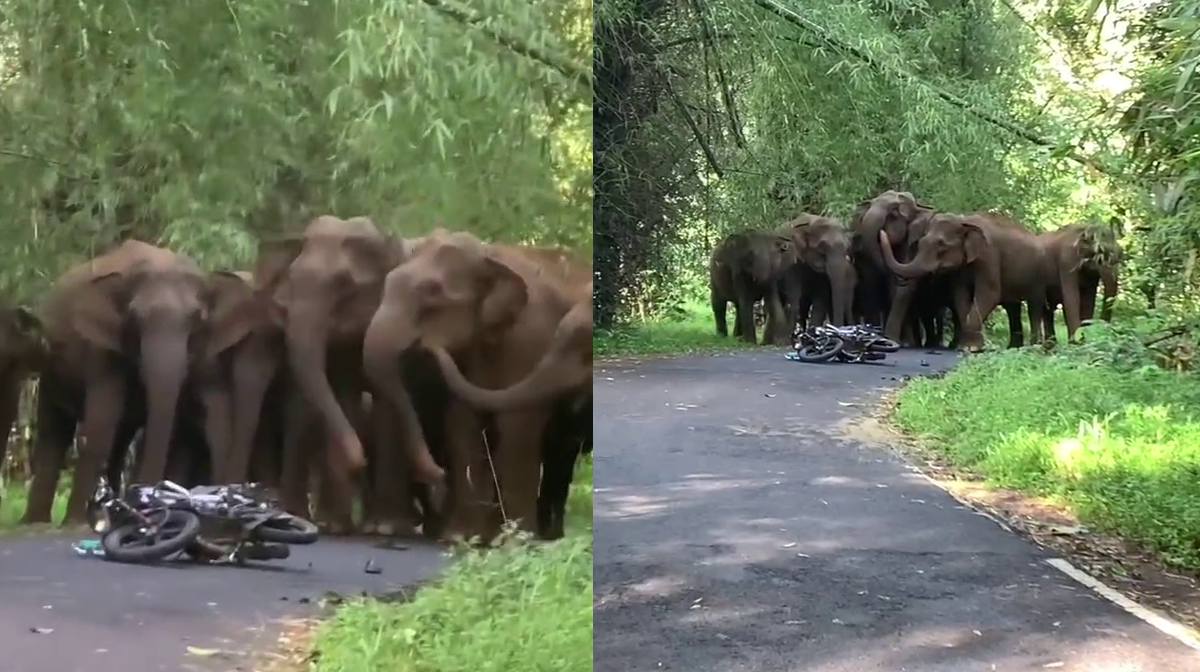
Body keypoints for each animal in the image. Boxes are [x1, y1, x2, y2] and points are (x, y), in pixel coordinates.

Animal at [23, 240, 221, 524]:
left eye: (197, 319)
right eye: (135, 318)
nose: (148, 498)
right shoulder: (100, 348)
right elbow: (101, 423)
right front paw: (77, 522)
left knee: (119, 440)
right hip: (50, 367)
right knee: (54, 432)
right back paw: (36, 521)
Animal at [363, 230, 591, 540]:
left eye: (431, 294)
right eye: (385, 284)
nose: (427, 345)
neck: (489, 256)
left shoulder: (528, 340)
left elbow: (517, 425)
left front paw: (517, 539)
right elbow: (463, 423)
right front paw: (460, 536)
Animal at [880, 213, 1050, 352]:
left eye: (941, 245)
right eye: (920, 243)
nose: (882, 232)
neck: (964, 221)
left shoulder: (988, 256)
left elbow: (989, 294)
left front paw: (971, 348)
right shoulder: (961, 269)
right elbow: (960, 296)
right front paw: (965, 346)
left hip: (1037, 277)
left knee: (1032, 306)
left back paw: (1030, 347)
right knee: (1013, 308)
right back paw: (1013, 347)